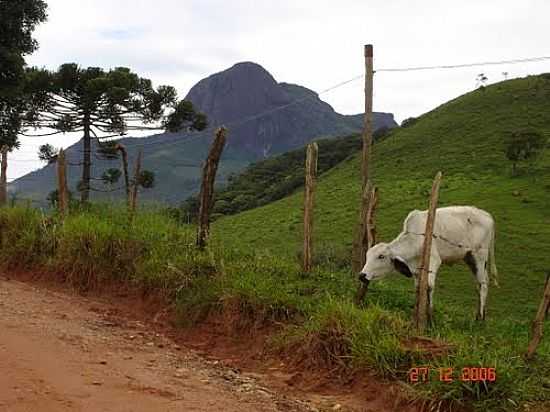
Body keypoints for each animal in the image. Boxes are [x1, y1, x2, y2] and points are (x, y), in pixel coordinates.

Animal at [360, 208, 498, 320]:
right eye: (367, 255)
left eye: (381, 256)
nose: (362, 275)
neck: (415, 240)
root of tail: (487, 215)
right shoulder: (416, 270)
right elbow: (418, 288)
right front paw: (416, 312)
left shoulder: (433, 261)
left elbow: (429, 287)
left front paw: (430, 316)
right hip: (469, 258)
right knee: (480, 284)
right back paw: (480, 314)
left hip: (480, 256)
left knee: (482, 284)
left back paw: (480, 318)